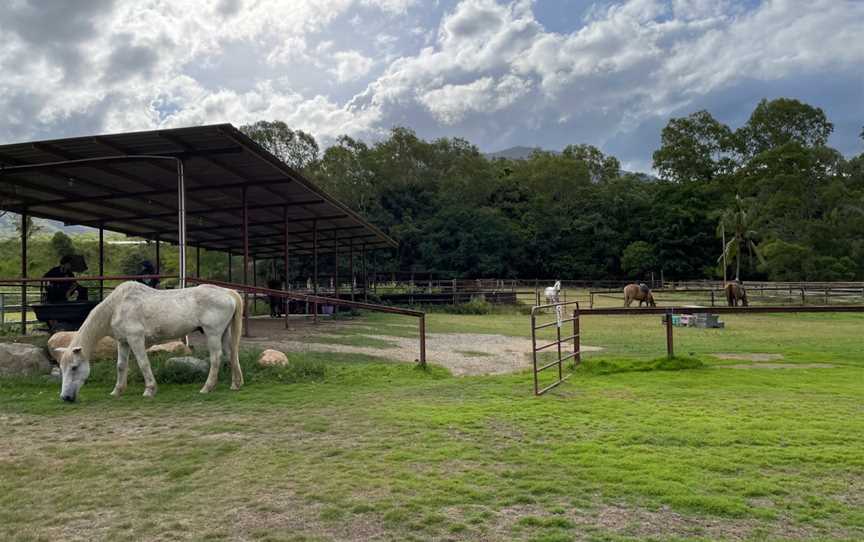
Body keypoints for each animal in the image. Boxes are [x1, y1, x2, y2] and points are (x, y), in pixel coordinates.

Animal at [57, 284, 245, 404]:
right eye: (62, 368)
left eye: (74, 367)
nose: (66, 397)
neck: (117, 306)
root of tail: (228, 292)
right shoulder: (123, 342)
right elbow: (121, 366)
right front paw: (117, 391)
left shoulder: (136, 339)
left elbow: (143, 363)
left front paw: (149, 390)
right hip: (224, 334)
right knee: (231, 354)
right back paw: (235, 384)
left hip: (212, 334)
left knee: (216, 358)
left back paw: (207, 388)